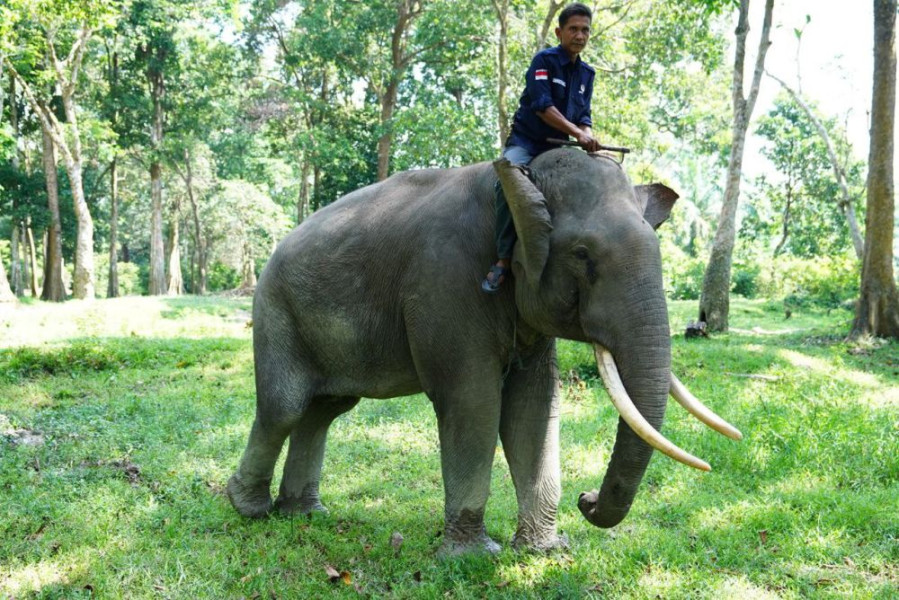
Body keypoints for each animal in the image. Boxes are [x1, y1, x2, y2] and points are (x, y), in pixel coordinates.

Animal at [229, 148, 740, 556]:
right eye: (582, 255)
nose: (587, 498)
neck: (516, 184)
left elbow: (532, 406)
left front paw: (544, 551)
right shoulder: (446, 281)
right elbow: (474, 401)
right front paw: (474, 556)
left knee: (325, 410)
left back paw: (302, 513)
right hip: (276, 310)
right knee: (285, 408)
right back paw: (248, 508)